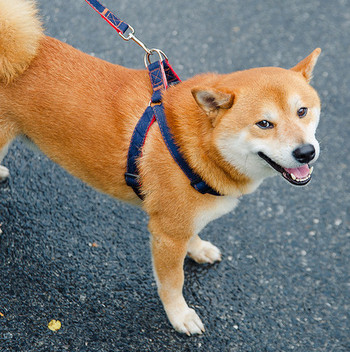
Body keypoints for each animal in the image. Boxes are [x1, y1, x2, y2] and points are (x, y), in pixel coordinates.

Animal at [0, 0, 322, 336]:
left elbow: (194, 234)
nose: (306, 152)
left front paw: (198, 248)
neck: (195, 145)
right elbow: (172, 282)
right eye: (264, 124)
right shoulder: (166, 233)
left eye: (302, 111)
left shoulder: (184, 221)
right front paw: (180, 315)